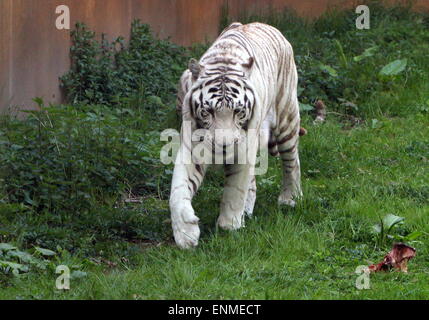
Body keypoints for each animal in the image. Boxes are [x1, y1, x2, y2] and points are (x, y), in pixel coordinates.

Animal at [170, 22, 300, 249]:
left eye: (238, 111)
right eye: (208, 111)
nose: (224, 146)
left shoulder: (244, 149)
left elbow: (235, 190)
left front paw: (228, 227)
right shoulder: (191, 148)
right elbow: (178, 190)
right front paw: (185, 233)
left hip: (287, 119)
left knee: (291, 162)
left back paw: (290, 198)